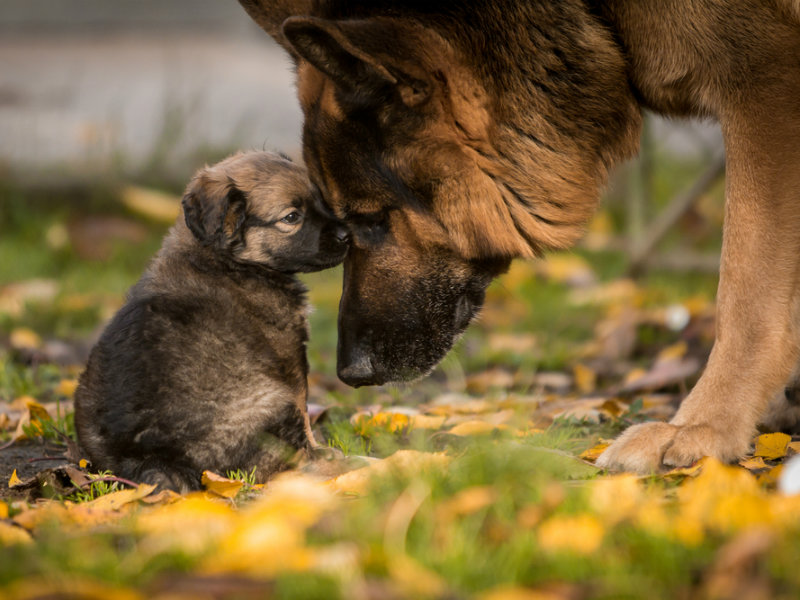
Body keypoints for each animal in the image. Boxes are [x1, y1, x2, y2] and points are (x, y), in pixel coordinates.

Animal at [73, 151, 348, 492]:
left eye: (320, 200)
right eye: (292, 217)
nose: (347, 235)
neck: (225, 259)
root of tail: (149, 456)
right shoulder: (289, 359)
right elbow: (304, 409)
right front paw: (319, 448)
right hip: (271, 399)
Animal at [241, 0, 800, 474]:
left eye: (372, 219)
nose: (350, 374)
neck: (599, 13)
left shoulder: (765, 79)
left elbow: (745, 291)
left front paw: (704, 426)